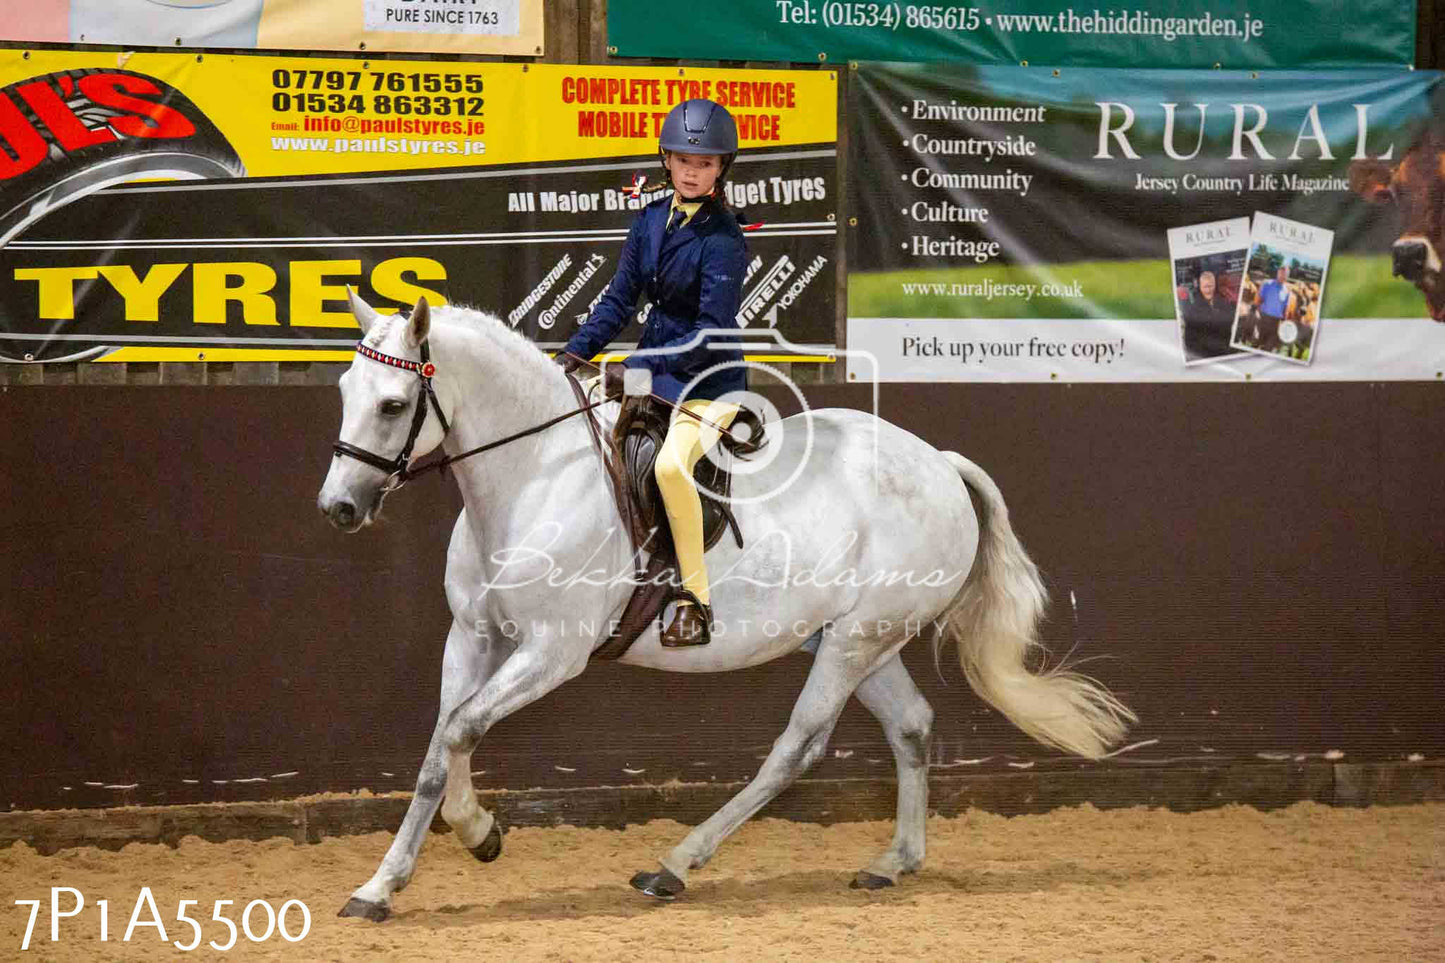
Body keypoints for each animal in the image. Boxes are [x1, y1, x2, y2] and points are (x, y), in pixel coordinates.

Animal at [319, 290, 1138, 913]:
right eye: (344, 394)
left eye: (392, 404)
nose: (338, 508)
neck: (535, 476)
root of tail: (938, 462)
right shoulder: (473, 636)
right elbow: (438, 747)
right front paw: (383, 885)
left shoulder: (552, 651)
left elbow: (461, 730)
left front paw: (476, 830)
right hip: (863, 640)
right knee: (909, 726)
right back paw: (891, 862)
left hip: (855, 641)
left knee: (798, 745)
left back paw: (674, 864)